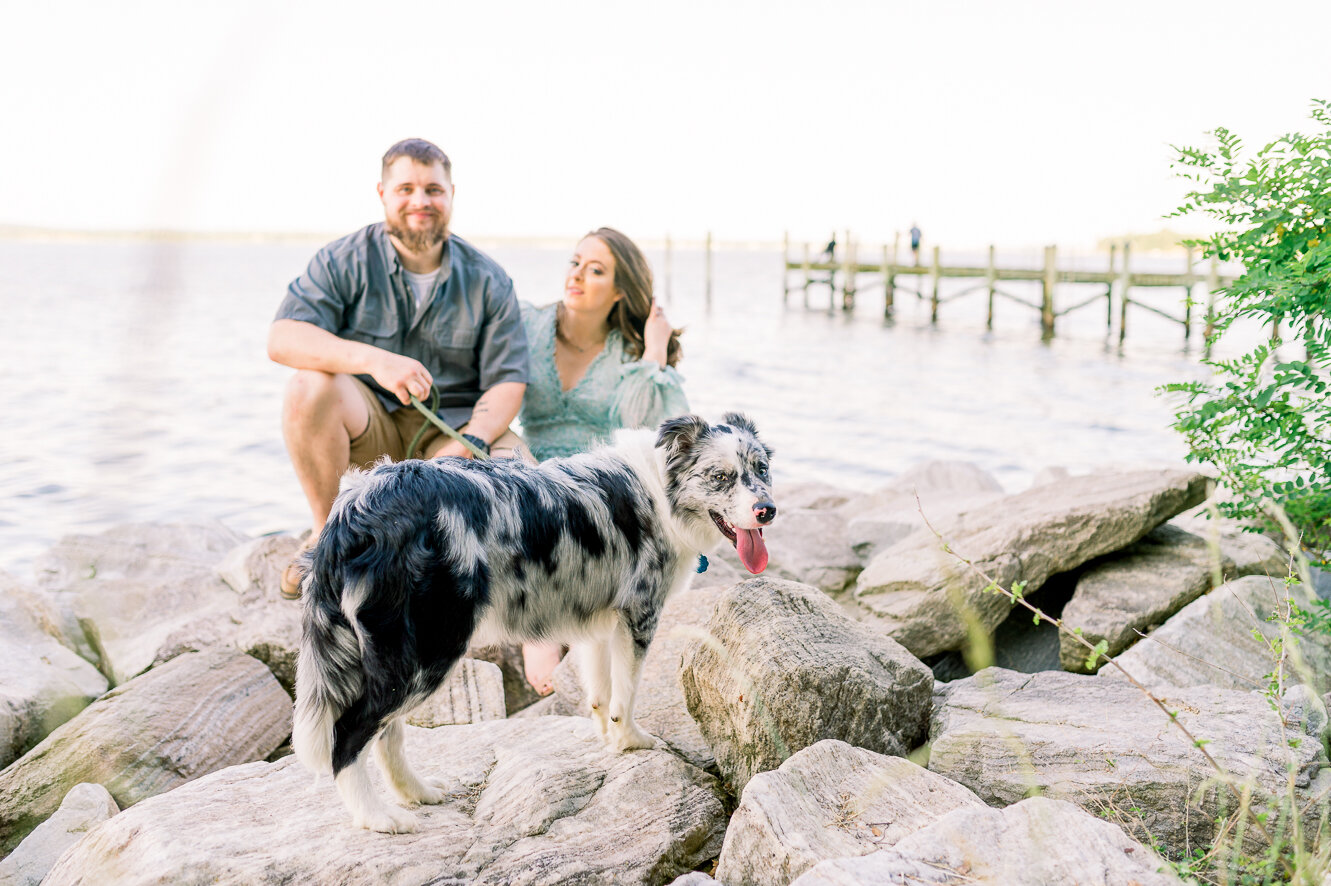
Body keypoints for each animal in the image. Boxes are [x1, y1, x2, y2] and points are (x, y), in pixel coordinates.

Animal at [290, 412, 771, 830]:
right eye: (720, 477)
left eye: (762, 469)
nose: (767, 509)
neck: (660, 488)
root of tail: (355, 508)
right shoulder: (640, 613)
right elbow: (626, 694)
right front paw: (632, 740)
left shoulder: (599, 619)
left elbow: (600, 693)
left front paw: (608, 741)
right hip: (430, 647)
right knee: (350, 733)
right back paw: (375, 816)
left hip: (407, 655)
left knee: (387, 731)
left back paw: (416, 792)